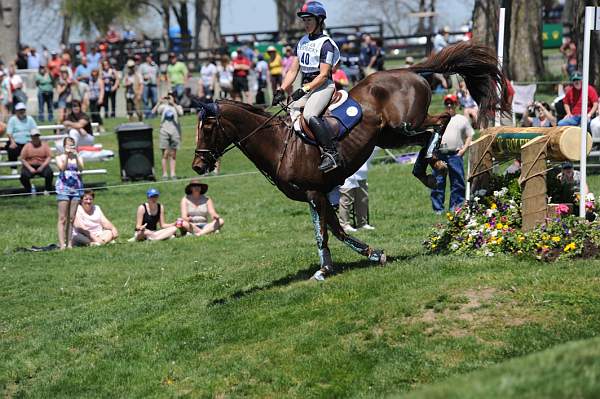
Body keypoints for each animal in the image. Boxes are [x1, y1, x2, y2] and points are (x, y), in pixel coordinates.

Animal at [193, 42, 510, 282]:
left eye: (207, 128)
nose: (198, 166)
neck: (280, 143)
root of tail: (408, 70)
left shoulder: (314, 193)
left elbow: (322, 234)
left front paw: (323, 270)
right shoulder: (319, 195)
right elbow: (337, 230)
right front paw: (373, 254)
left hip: (404, 124)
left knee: (441, 121)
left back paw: (434, 164)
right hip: (390, 137)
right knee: (428, 134)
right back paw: (428, 171)